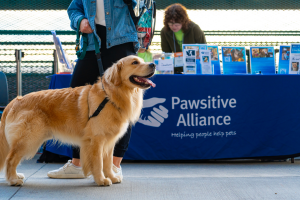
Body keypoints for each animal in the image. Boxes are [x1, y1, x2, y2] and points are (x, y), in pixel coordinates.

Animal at [0, 55, 155, 186]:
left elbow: (108, 162)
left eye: (142, 60)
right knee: (10, 159)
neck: (110, 96)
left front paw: (111, 176)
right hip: (29, 139)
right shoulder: (96, 140)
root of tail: (16, 100)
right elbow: (98, 163)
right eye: (135, 62)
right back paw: (13, 180)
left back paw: (16, 176)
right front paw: (101, 180)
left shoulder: (109, 141)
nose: (153, 64)